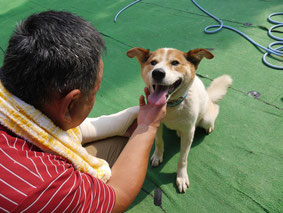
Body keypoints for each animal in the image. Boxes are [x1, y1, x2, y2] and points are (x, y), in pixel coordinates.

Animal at [127, 47, 233, 192]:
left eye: (175, 63)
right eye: (153, 62)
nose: (157, 73)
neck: (171, 105)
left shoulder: (189, 133)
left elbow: (183, 158)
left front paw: (181, 177)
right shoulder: (157, 124)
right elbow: (159, 141)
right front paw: (158, 156)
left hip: (206, 118)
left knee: (215, 109)